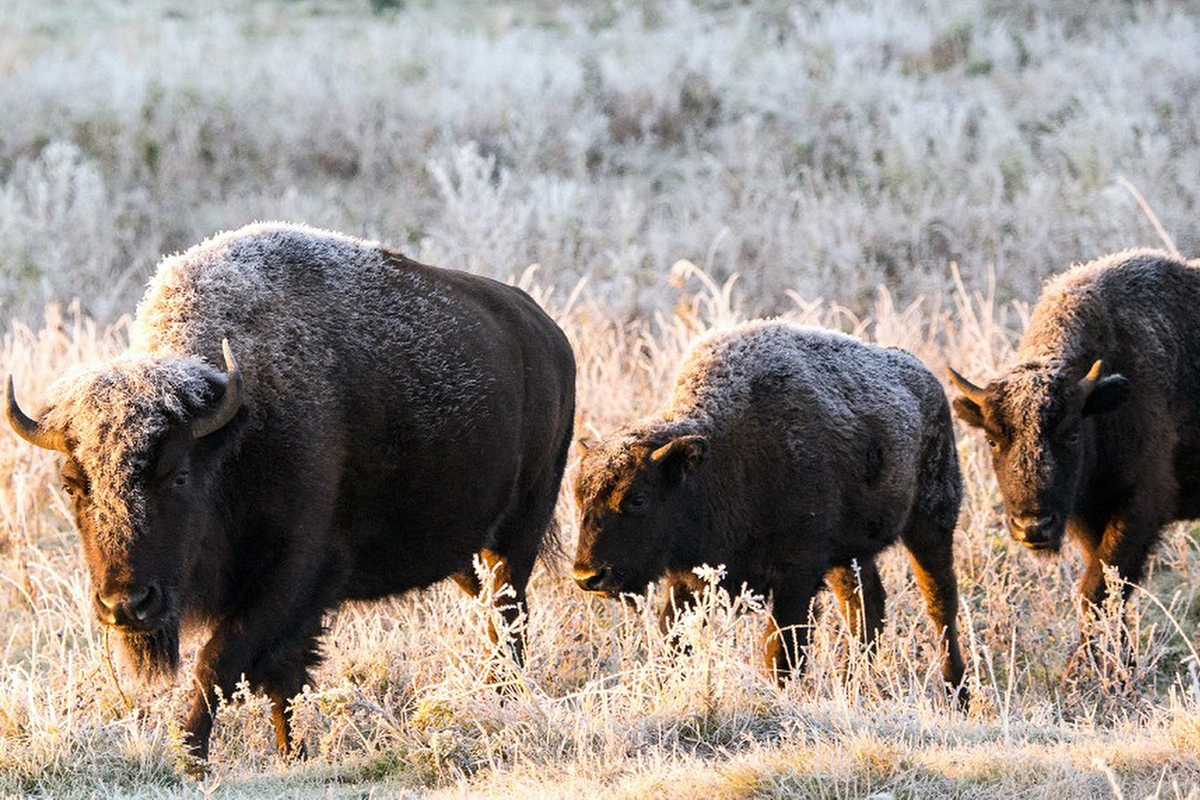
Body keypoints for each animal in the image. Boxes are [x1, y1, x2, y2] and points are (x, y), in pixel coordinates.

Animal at [6, 222, 576, 760]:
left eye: (179, 475)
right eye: (71, 485)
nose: (126, 605)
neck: (237, 426)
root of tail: (549, 334)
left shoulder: (294, 576)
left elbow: (219, 664)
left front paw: (189, 759)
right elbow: (281, 681)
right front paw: (290, 753)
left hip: (518, 532)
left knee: (509, 617)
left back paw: (505, 699)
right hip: (465, 554)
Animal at [572, 320, 965, 695]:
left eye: (638, 498)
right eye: (579, 498)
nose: (588, 576)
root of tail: (928, 381)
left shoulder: (798, 574)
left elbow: (781, 651)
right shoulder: (688, 580)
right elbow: (675, 642)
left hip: (932, 522)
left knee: (940, 603)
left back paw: (956, 691)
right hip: (849, 555)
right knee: (866, 607)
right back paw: (853, 684)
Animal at [949, 249, 1200, 626]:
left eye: (1071, 434)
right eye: (992, 440)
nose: (1033, 526)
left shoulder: (1140, 508)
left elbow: (1099, 590)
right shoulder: (1087, 517)